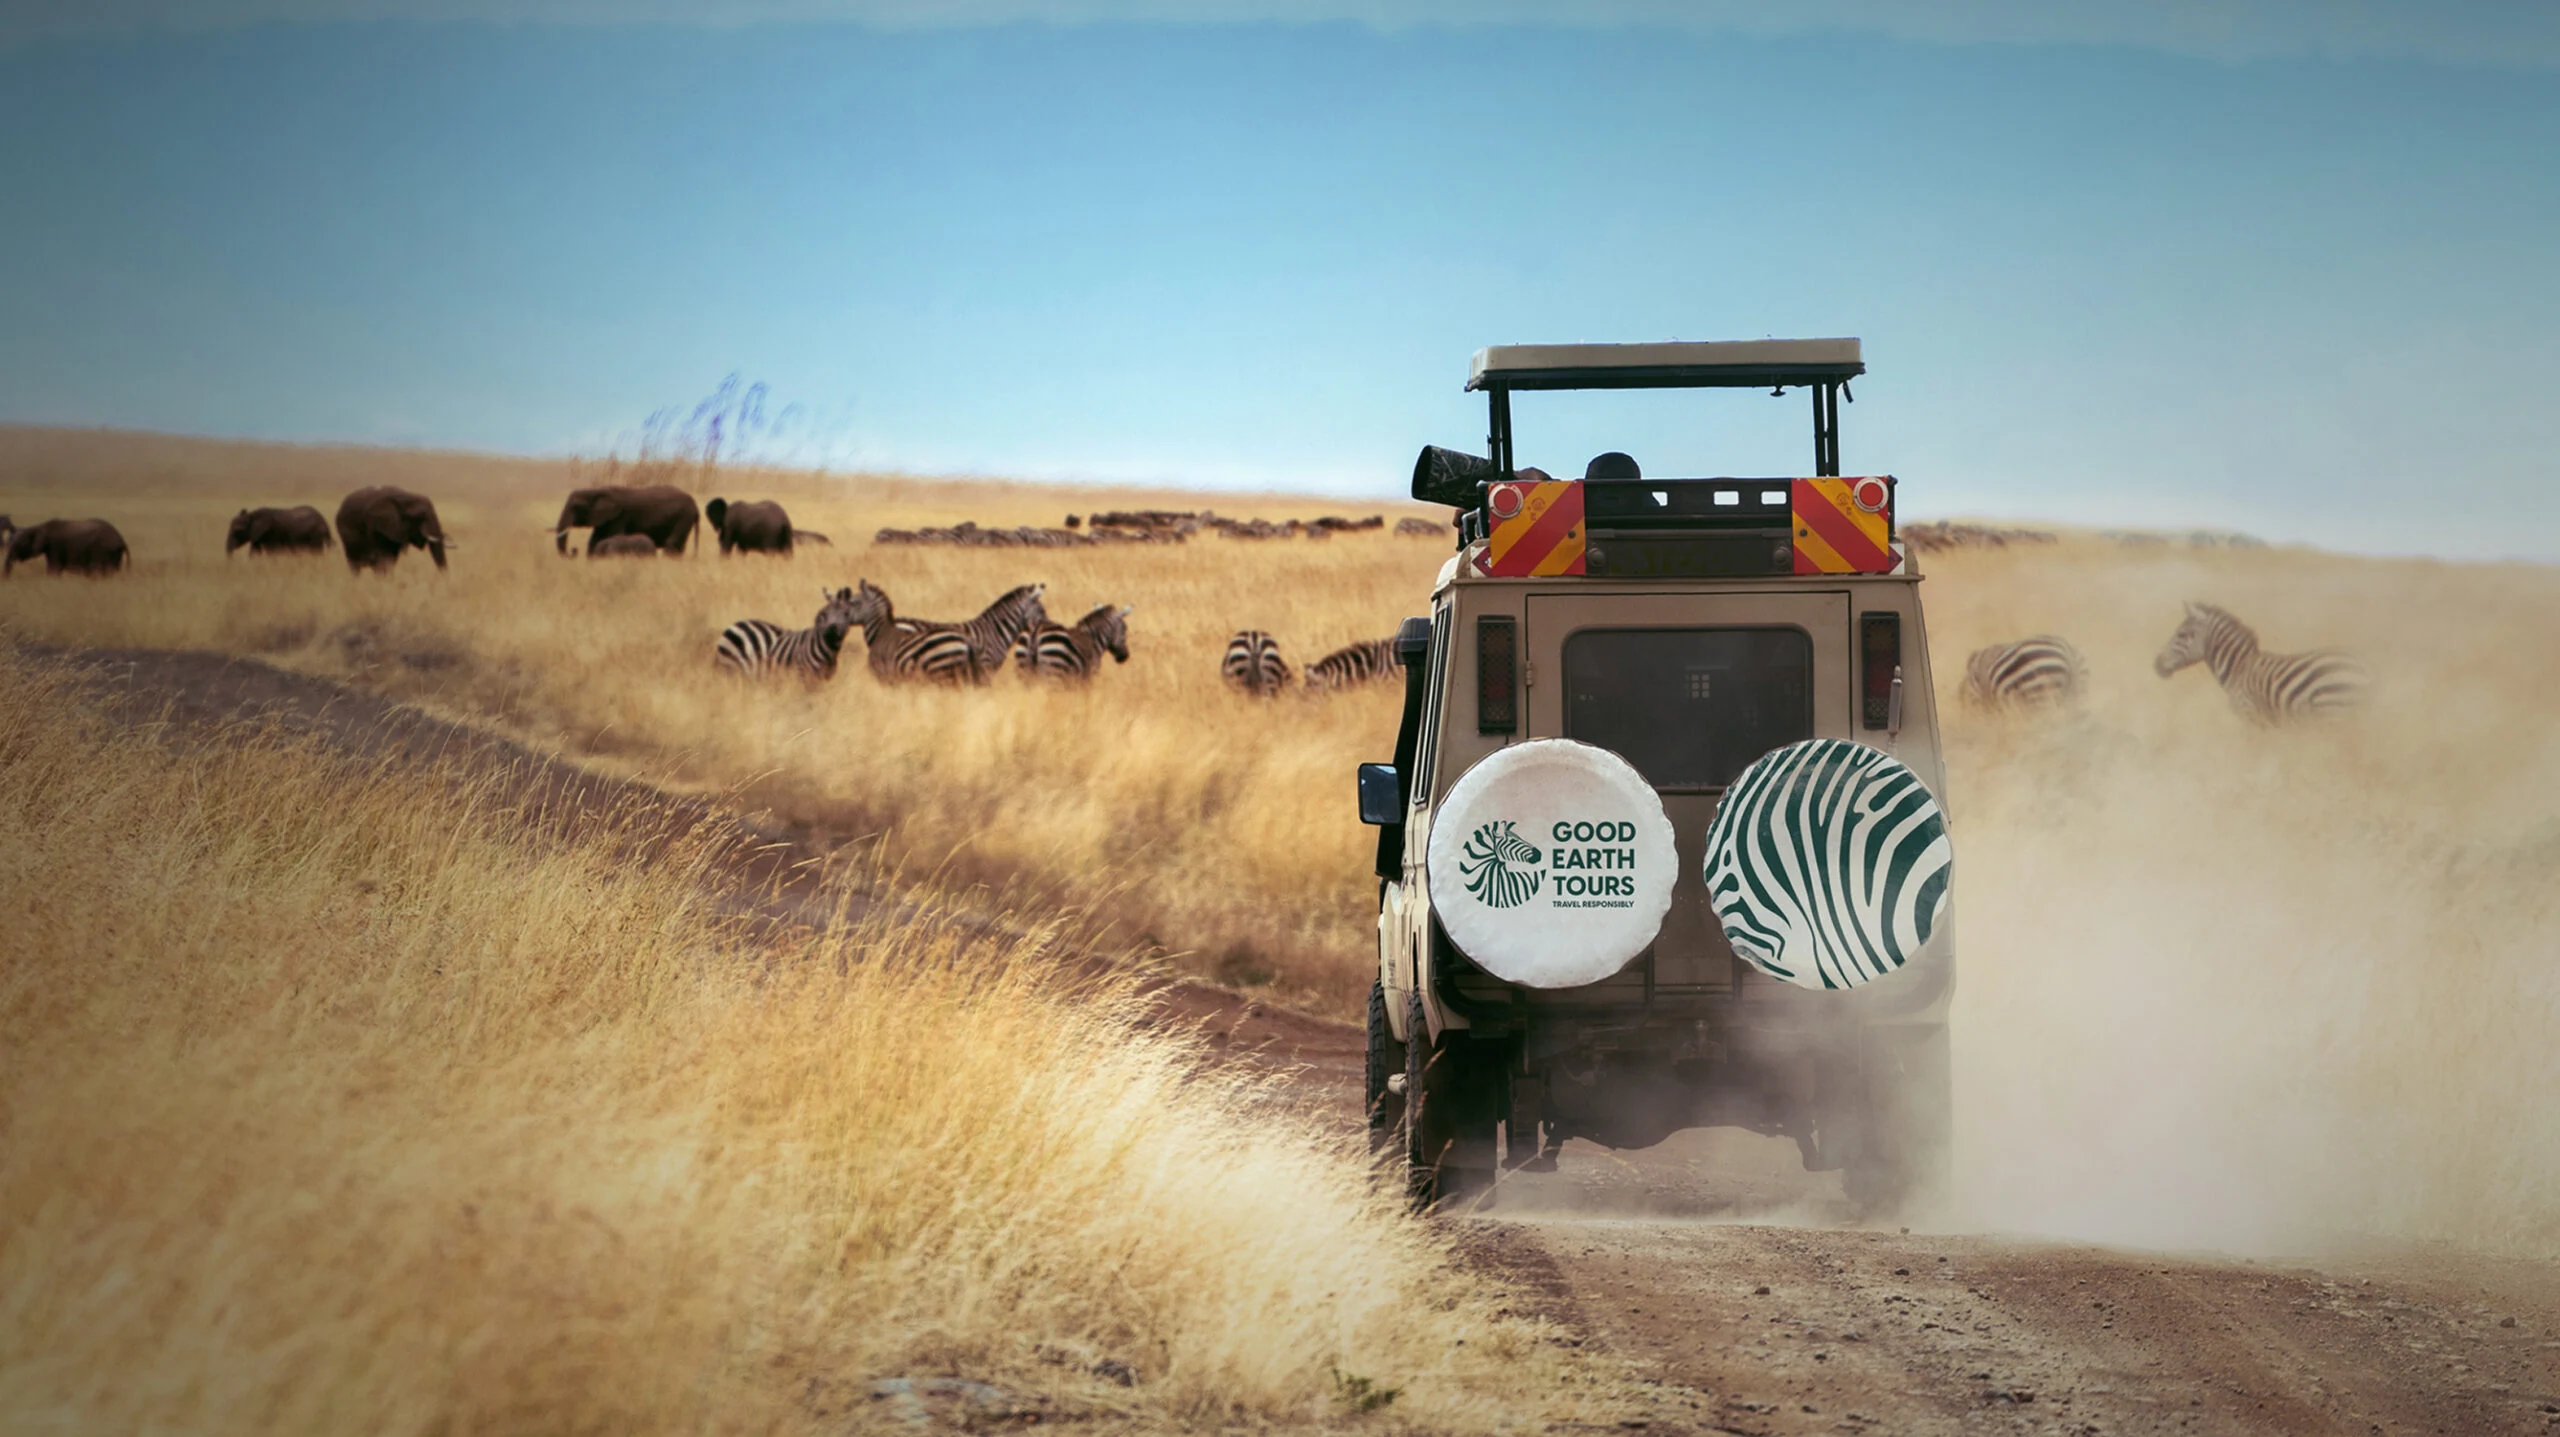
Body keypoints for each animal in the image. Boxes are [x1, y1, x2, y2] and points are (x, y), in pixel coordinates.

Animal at [714, 587, 863, 681]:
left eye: (846, 614)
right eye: (824, 614)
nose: (831, 632)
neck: (830, 651)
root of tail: (734, 625)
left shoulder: (824, 679)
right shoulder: (803, 675)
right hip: (733, 668)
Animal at [2154, 601, 2367, 722]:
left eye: (2182, 634)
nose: (2156, 664)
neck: (2238, 669)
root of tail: (2366, 666)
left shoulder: (2250, 715)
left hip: (2332, 709)